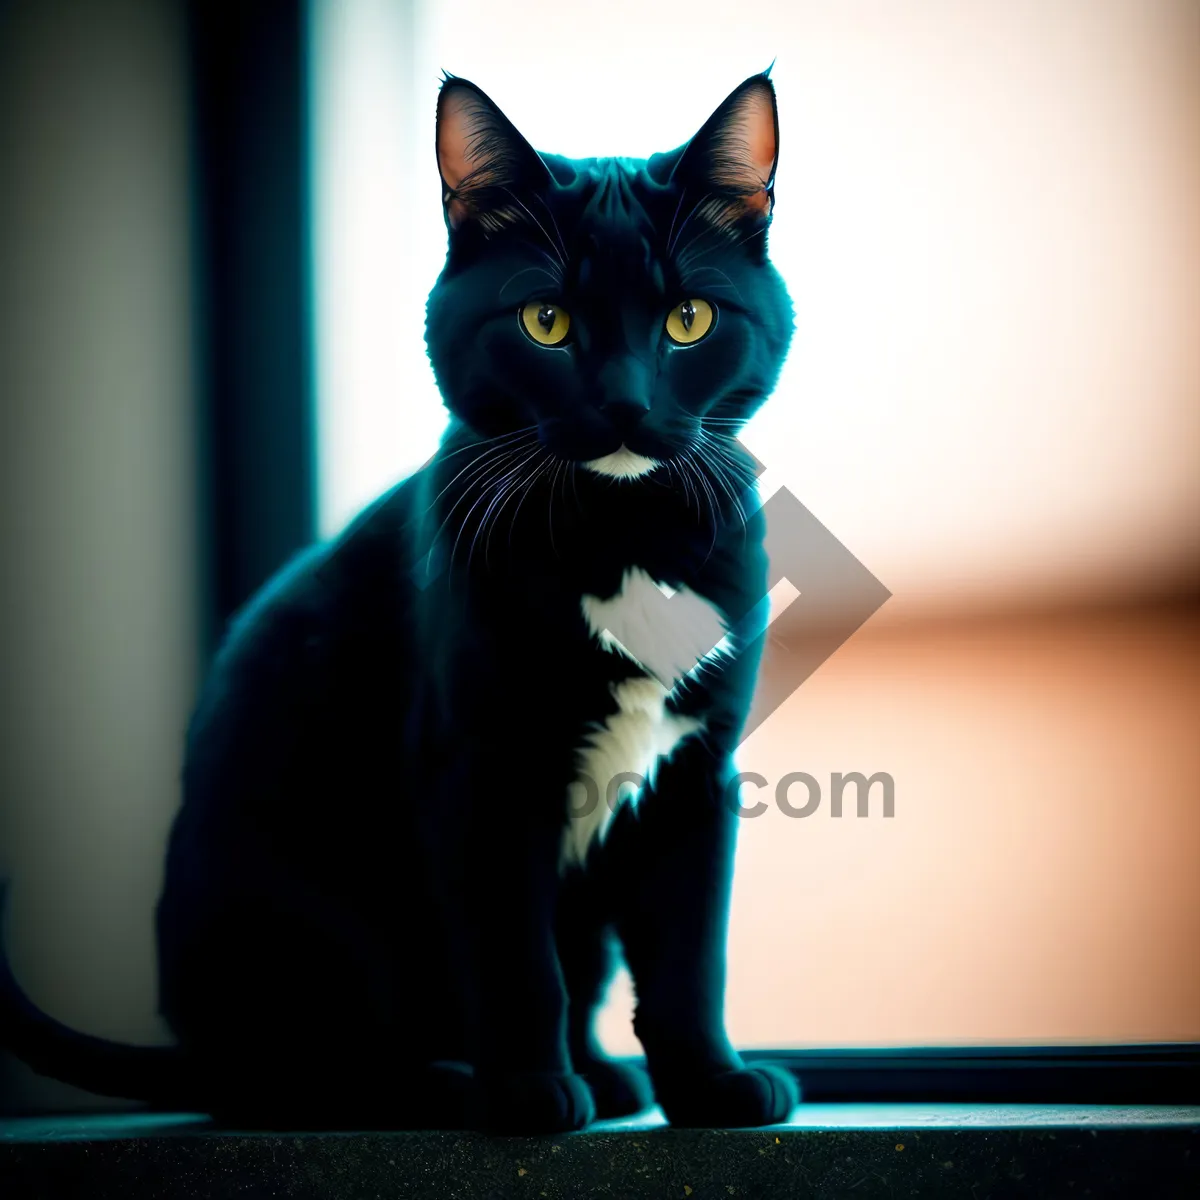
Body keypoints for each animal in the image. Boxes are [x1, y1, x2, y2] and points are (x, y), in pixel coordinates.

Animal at [7, 68, 806, 1132]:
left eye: (689, 321)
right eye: (545, 322)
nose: (627, 406)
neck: (622, 536)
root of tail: (192, 1051)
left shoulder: (692, 774)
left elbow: (686, 956)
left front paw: (712, 1085)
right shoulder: (479, 770)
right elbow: (517, 960)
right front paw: (529, 1095)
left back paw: (600, 1076)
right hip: (314, 928)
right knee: (290, 1072)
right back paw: (440, 1084)